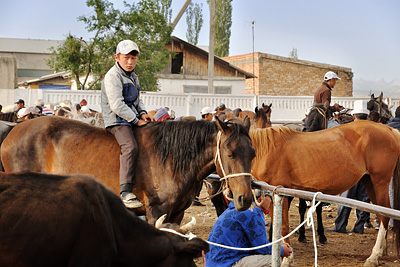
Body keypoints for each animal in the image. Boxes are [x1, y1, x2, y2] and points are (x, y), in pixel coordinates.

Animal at [0, 116, 256, 226]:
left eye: (253, 154)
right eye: (230, 154)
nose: (245, 199)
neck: (171, 158)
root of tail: (13, 130)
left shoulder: (176, 215)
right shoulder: (156, 213)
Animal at [250, 121, 400, 266]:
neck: (266, 151)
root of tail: (390, 130)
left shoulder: (282, 193)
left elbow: (283, 226)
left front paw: (288, 258)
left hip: (380, 181)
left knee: (385, 216)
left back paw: (373, 257)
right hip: (369, 181)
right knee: (381, 213)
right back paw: (380, 252)